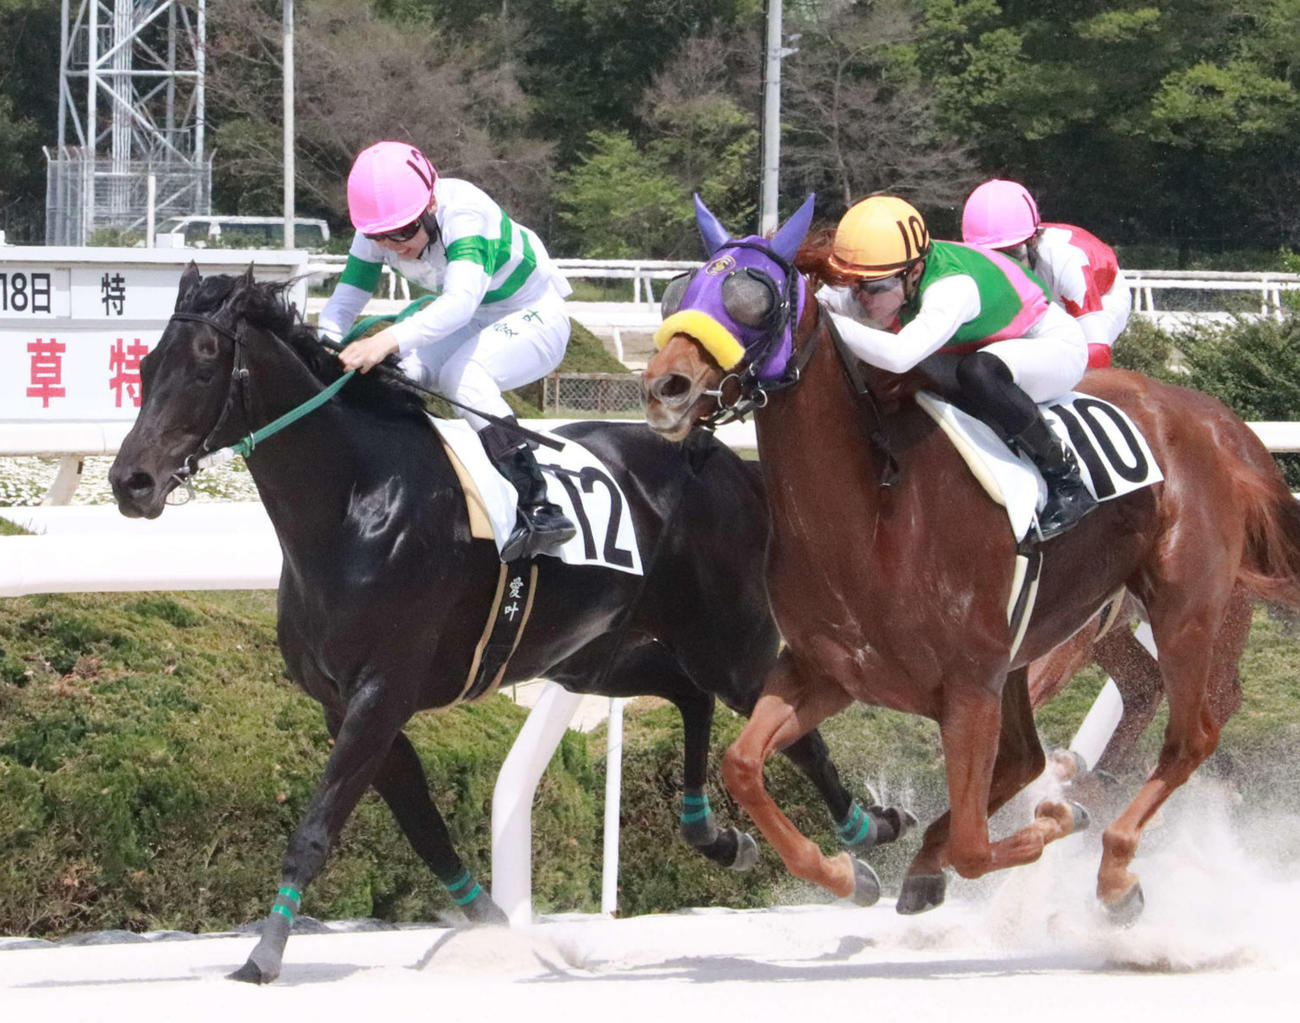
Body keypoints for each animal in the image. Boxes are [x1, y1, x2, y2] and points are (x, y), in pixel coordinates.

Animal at [108, 266, 908, 984]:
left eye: (203, 366)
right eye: (143, 365)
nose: (130, 482)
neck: (356, 505)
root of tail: (721, 457)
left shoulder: (381, 692)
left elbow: (317, 825)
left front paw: (263, 955)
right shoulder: (348, 702)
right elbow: (425, 829)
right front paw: (500, 929)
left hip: (726, 639)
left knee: (793, 733)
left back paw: (867, 840)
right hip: (589, 653)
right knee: (689, 693)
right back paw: (717, 836)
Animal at [641, 196, 1300, 920]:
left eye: (752, 298)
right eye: (678, 291)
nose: (665, 388)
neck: (874, 515)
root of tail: (1221, 423)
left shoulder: (970, 688)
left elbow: (974, 846)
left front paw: (1051, 822)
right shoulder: (828, 673)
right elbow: (743, 764)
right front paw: (848, 871)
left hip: (1184, 605)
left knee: (1192, 735)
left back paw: (1114, 868)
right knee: (1055, 745)